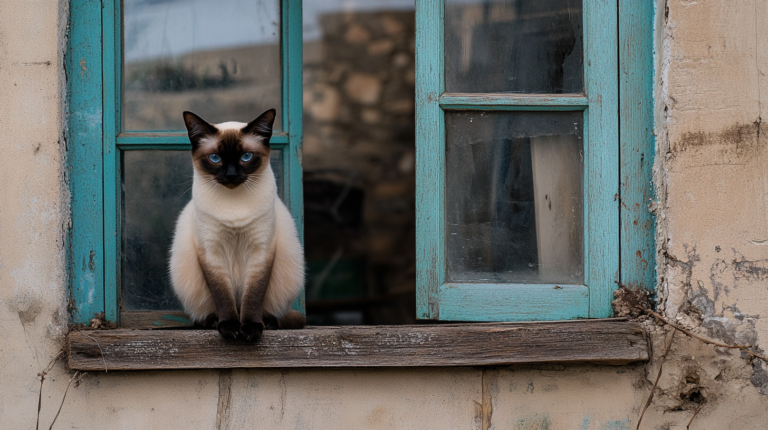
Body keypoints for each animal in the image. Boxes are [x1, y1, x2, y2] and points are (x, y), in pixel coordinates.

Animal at [171, 109, 306, 340]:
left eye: (246, 157)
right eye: (215, 158)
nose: (231, 175)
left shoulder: (261, 252)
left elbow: (253, 298)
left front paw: (250, 329)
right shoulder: (211, 253)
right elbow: (223, 297)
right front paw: (230, 328)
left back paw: (267, 323)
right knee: (204, 314)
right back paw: (213, 322)